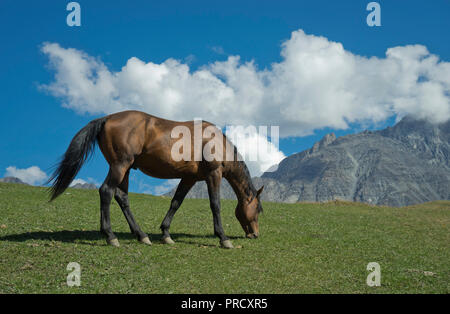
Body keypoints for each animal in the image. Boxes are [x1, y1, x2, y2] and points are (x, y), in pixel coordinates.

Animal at [48, 109, 264, 249]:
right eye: (258, 210)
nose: (255, 234)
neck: (216, 141)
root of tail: (107, 118)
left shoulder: (189, 178)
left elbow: (176, 202)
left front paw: (166, 234)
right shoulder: (214, 174)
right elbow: (215, 205)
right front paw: (223, 238)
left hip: (125, 169)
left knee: (122, 198)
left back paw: (141, 235)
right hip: (120, 166)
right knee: (106, 192)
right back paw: (110, 236)